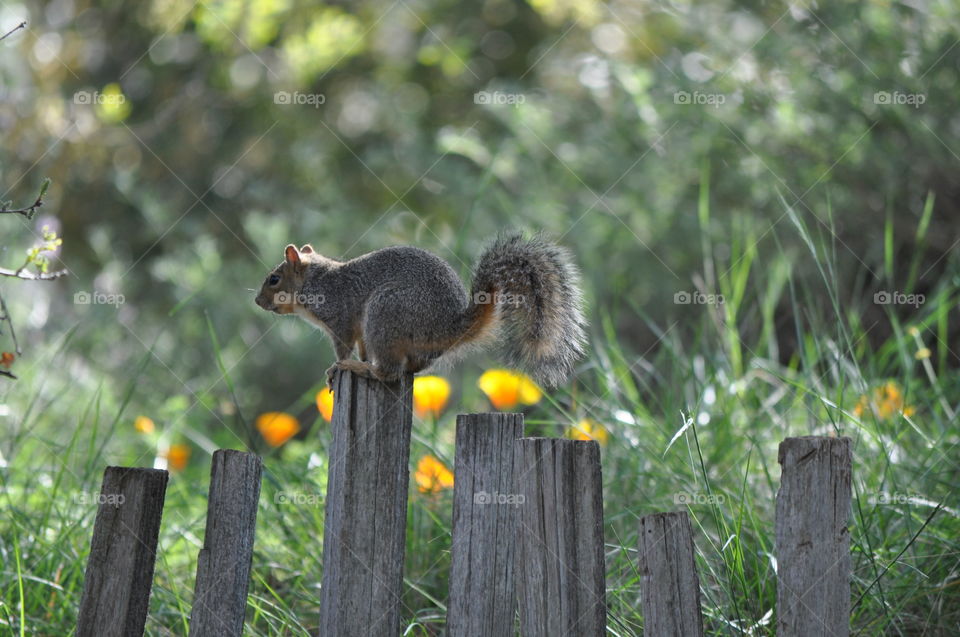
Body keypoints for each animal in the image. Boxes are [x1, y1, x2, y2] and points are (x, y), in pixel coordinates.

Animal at [255, 232, 586, 388]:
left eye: (274, 279)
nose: (258, 302)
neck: (316, 280)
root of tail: (452, 326)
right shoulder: (359, 331)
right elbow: (362, 347)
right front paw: (358, 359)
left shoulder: (341, 318)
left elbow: (343, 348)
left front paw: (337, 367)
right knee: (409, 369)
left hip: (386, 311)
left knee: (388, 373)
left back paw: (360, 369)